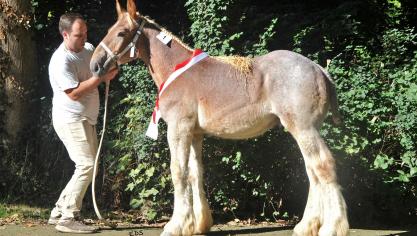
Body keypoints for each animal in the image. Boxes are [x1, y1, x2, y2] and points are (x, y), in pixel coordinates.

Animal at [90, 0, 348, 235]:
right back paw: (306, 226)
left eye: (121, 32)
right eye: (110, 29)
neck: (176, 70)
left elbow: (178, 172)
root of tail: (320, 70)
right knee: (312, 170)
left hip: (304, 129)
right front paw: (198, 224)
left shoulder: (178, 129)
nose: (95, 65)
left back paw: (332, 227)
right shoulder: (195, 134)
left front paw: (175, 225)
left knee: (323, 165)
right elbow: (195, 173)